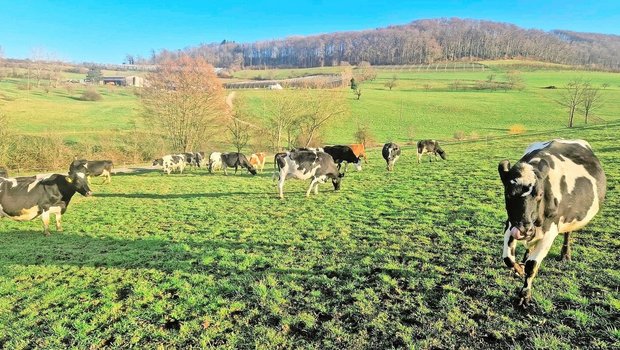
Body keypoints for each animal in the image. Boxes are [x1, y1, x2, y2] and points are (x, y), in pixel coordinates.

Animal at [498, 139, 604, 306]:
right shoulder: (510, 224)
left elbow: (532, 265)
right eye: (508, 193)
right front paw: (519, 269)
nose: (524, 230)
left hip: (568, 219)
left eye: (540, 194)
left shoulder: (550, 231)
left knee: (567, 233)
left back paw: (565, 255)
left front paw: (525, 295)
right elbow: (508, 258)